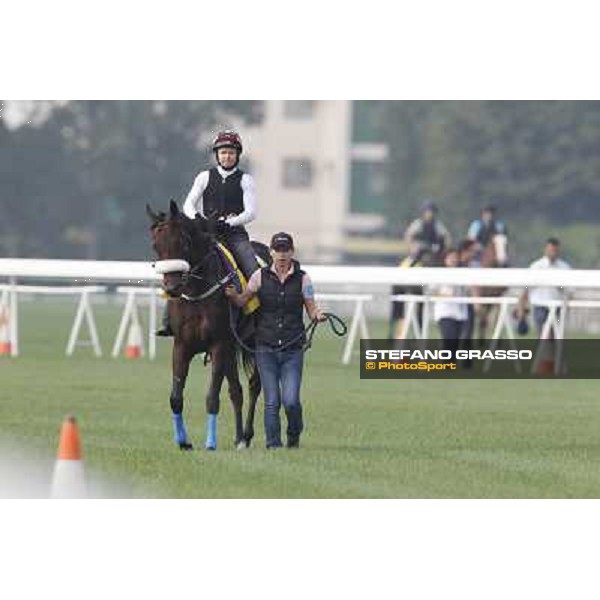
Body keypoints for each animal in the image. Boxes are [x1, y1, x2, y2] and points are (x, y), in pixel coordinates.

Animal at [148, 202, 270, 450]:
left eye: (183, 242)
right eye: (156, 245)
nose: (172, 288)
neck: (197, 291)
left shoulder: (218, 345)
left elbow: (212, 397)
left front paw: (211, 442)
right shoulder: (182, 345)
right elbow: (176, 398)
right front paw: (183, 441)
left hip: (253, 344)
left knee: (254, 385)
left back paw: (247, 435)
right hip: (232, 350)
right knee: (236, 391)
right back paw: (239, 437)